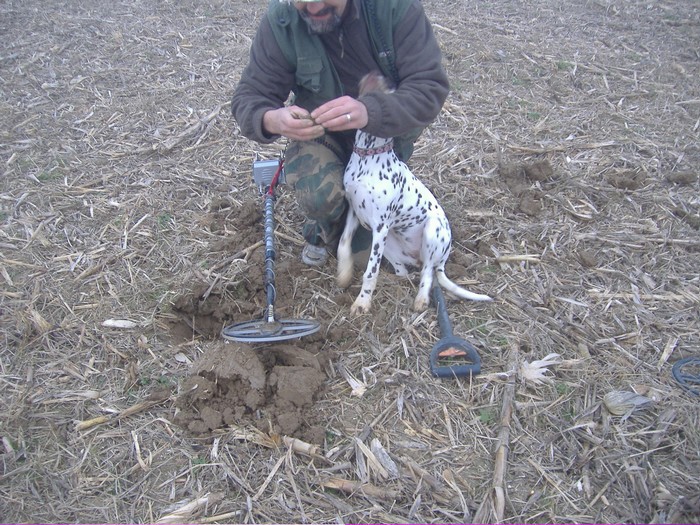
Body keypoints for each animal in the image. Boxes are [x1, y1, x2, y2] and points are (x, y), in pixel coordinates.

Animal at [338, 71, 492, 314]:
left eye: (390, 93)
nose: (377, 74)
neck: (368, 156)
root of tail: (442, 260)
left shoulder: (380, 226)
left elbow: (370, 272)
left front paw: (362, 302)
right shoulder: (355, 212)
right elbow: (343, 244)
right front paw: (344, 274)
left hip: (431, 232)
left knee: (427, 273)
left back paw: (421, 300)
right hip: (389, 243)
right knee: (404, 272)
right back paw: (395, 280)